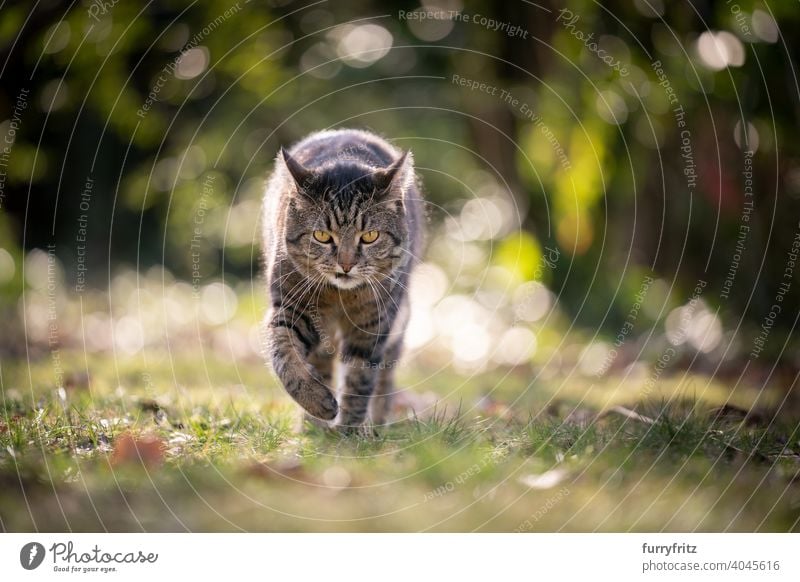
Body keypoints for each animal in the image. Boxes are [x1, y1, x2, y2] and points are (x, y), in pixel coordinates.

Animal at [262, 131, 424, 434]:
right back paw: (313, 424)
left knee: (385, 377)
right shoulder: (292, 309)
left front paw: (349, 431)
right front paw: (316, 402)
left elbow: (359, 380)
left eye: (370, 236)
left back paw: (376, 423)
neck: (340, 296)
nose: (346, 265)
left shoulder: (372, 325)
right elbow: (284, 353)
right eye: (322, 236)